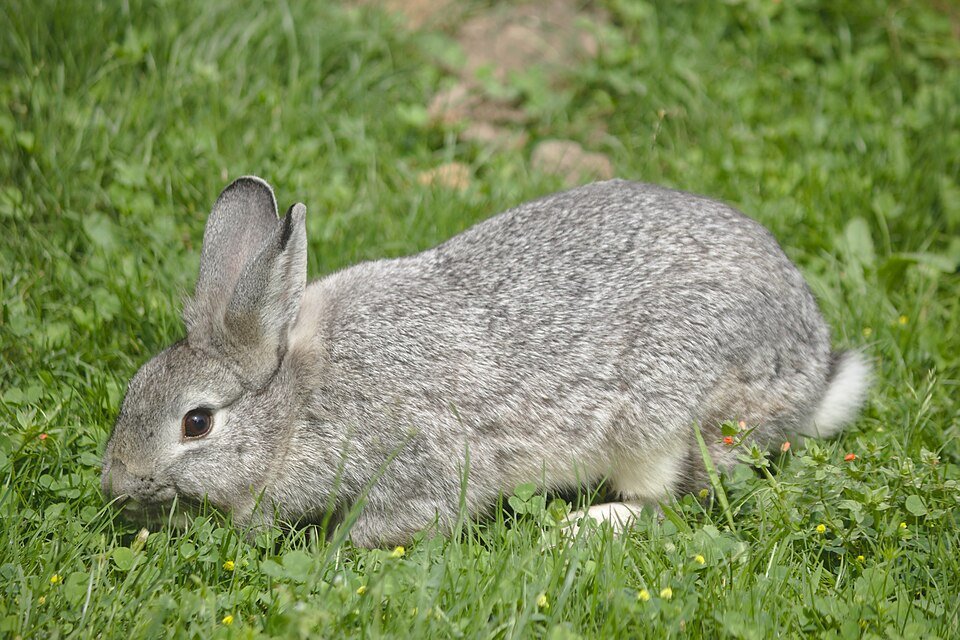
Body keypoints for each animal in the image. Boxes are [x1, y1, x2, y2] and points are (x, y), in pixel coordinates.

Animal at [101, 176, 870, 547]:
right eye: (133, 391)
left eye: (196, 422)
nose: (116, 482)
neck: (295, 403)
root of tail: (812, 371)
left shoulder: (418, 462)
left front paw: (331, 550)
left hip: (664, 418)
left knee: (667, 500)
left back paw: (577, 528)